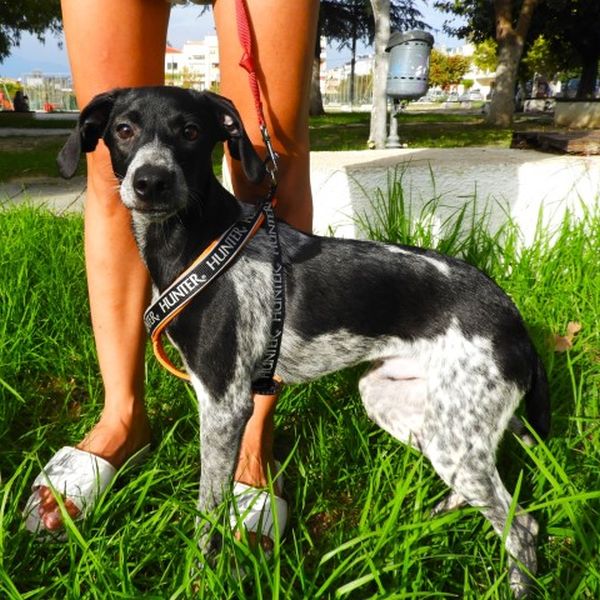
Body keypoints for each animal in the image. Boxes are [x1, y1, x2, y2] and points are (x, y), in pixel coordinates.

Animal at [57, 86, 550, 596]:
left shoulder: (223, 402)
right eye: (123, 129)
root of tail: (515, 323)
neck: (194, 241)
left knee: (522, 525)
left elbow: (208, 513)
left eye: (190, 131)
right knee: (478, 487)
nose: (150, 182)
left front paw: (198, 576)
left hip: (454, 434)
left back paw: (516, 582)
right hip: (409, 409)